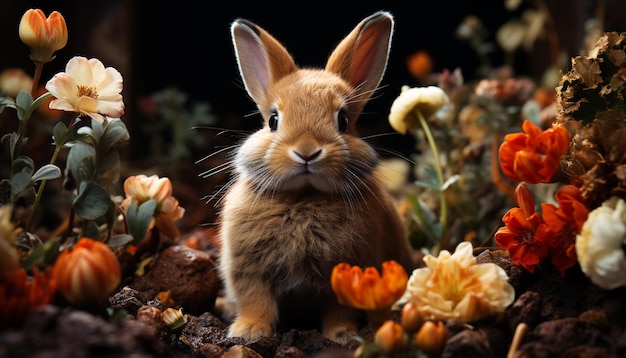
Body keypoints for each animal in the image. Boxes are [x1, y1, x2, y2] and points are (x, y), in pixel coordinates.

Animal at [214, 11, 414, 344]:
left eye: (343, 120)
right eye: (273, 120)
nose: (307, 151)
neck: (304, 195)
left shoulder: (346, 273)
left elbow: (338, 310)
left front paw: (342, 335)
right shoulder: (249, 270)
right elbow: (255, 301)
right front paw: (249, 332)